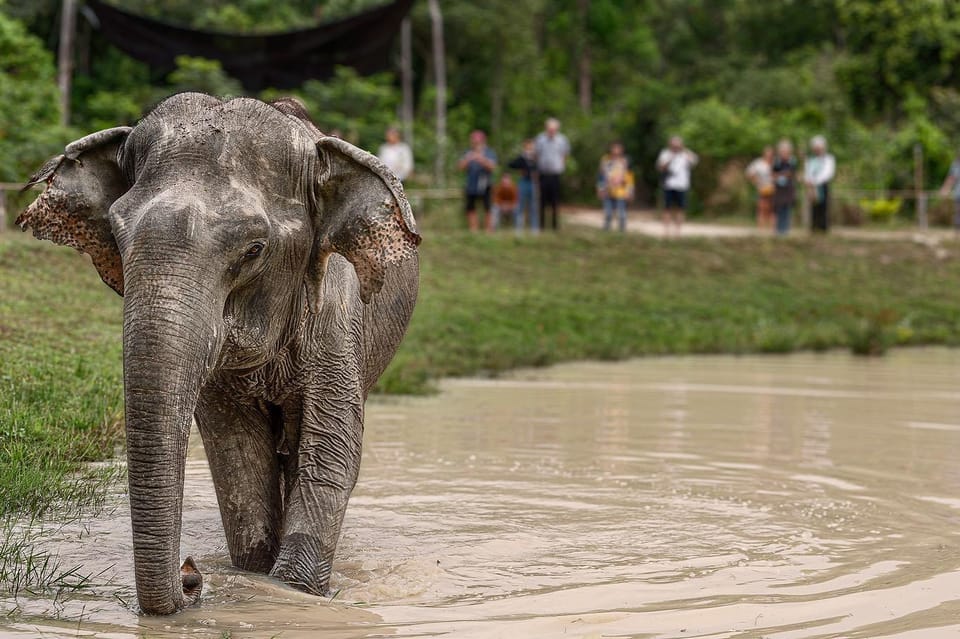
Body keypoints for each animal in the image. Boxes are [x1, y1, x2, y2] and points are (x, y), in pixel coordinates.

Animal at [15, 91, 420, 616]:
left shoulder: (336, 316)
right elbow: (237, 457)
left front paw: (291, 595)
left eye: (254, 250)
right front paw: (253, 576)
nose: (190, 574)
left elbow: (331, 450)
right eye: (117, 239)